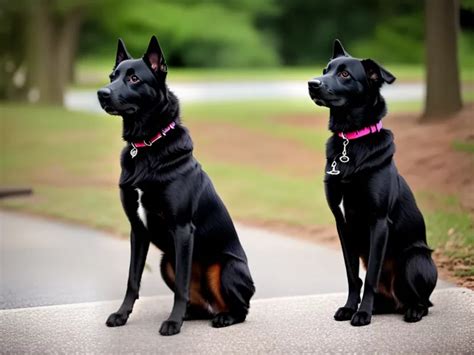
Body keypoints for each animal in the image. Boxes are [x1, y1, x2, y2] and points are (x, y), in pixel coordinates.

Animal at [96, 36, 258, 336]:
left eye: (134, 78)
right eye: (112, 76)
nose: (102, 93)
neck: (146, 145)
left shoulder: (182, 229)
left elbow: (181, 287)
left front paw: (172, 322)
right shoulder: (138, 230)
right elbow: (132, 280)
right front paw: (122, 315)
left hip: (226, 268)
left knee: (240, 309)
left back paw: (222, 317)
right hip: (165, 263)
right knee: (201, 305)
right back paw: (193, 314)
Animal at [308, 39, 436, 328]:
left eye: (345, 74)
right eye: (325, 70)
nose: (312, 83)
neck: (351, 140)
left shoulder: (377, 221)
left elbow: (371, 277)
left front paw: (362, 313)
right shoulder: (342, 223)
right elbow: (353, 276)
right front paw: (349, 308)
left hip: (415, 259)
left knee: (424, 302)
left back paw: (411, 310)